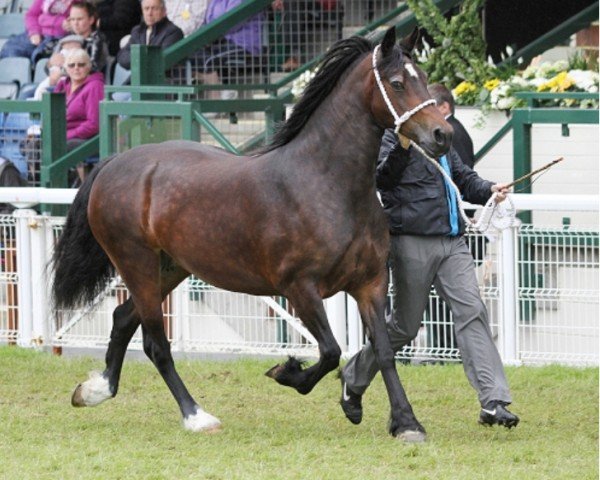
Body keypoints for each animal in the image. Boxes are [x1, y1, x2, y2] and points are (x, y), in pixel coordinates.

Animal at [52, 28, 450, 442]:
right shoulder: (300, 288)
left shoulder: (369, 283)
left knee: (122, 319)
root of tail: (114, 163)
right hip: (137, 264)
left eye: (423, 77)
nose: (442, 134)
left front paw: (403, 421)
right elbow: (330, 351)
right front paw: (288, 373)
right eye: (398, 82)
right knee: (155, 343)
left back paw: (95, 390)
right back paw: (196, 415)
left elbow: (383, 351)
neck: (326, 184)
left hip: (169, 268)